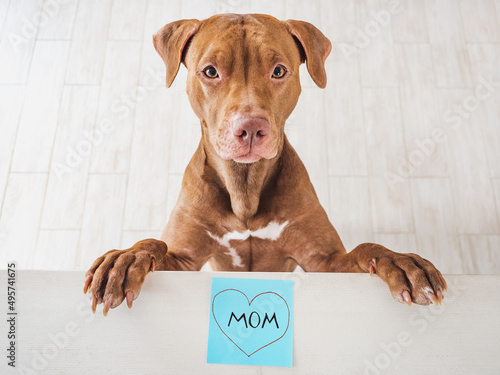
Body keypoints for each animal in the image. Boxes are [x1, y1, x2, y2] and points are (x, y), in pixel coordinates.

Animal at [84, 13, 448, 316]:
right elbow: (155, 245)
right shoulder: (182, 261)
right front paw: (125, 258)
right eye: (210, 71)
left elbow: (365, 247)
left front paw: (400, 261)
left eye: (278, 71)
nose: (250, 128)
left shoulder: (325, 262)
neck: (245, 187)